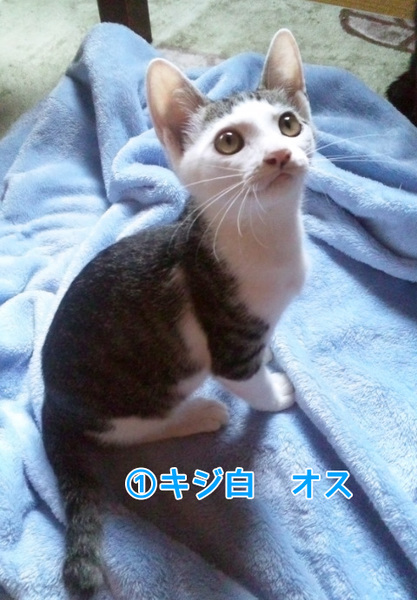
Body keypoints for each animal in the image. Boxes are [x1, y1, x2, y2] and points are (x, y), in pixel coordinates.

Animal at [41, 28, 315, 598]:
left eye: (288, 124)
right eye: (229, 142)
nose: (280, 155)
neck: (264, 235)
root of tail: (50, 399)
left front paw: (273, 353)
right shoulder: (228, 342)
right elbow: (248, 382)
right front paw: (276, 392)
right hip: (137, 392)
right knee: (125, 431)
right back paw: (199, 414)